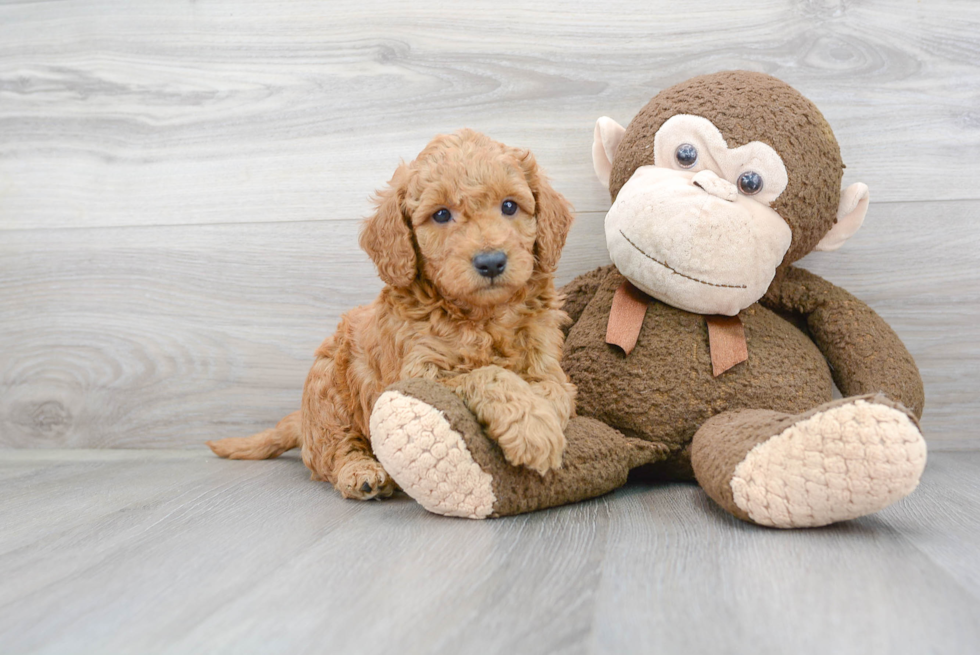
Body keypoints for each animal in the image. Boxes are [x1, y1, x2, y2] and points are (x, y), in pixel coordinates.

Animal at [207, 131, 576, 500]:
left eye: (510, 206)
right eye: (441, 215)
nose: (491, 262)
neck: (482, 316)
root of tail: (302, 420)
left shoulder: (545, 363)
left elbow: (554, 391)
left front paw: (543, 419)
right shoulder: (418, 373)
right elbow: (488, 375)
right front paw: (532, 429)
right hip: (327, 390)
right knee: (334, 450)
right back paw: (363, 473)